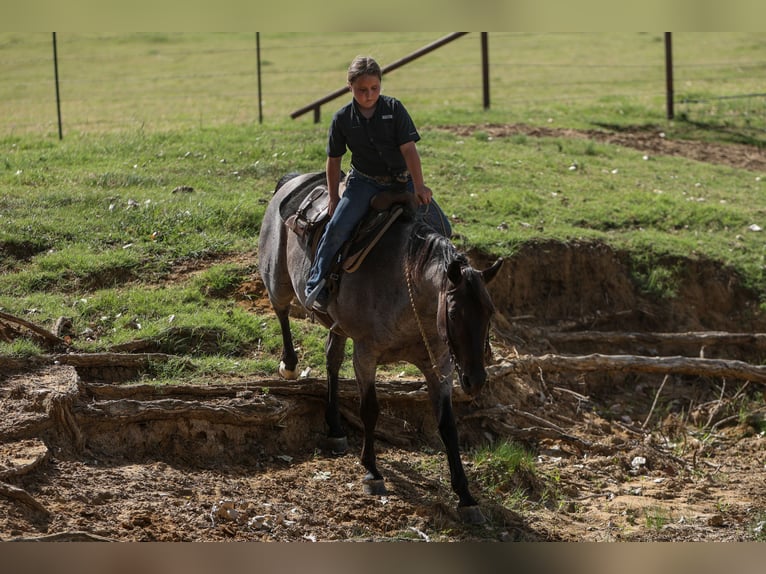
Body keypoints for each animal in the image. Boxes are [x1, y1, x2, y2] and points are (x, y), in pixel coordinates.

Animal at [260, 172, 508, 528]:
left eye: (489, 312)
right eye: (453, 314)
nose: (475, 380)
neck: (408, 289)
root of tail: (293, 180)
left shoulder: (439, 365)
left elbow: (447, 425)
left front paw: (465, 496)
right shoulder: (366, 353)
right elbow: (370, 410)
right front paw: (372, 471)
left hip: (339, 326)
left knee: (332, 358)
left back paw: (335, 429)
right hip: (277, 277)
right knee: (280, 309)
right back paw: (290, 364)